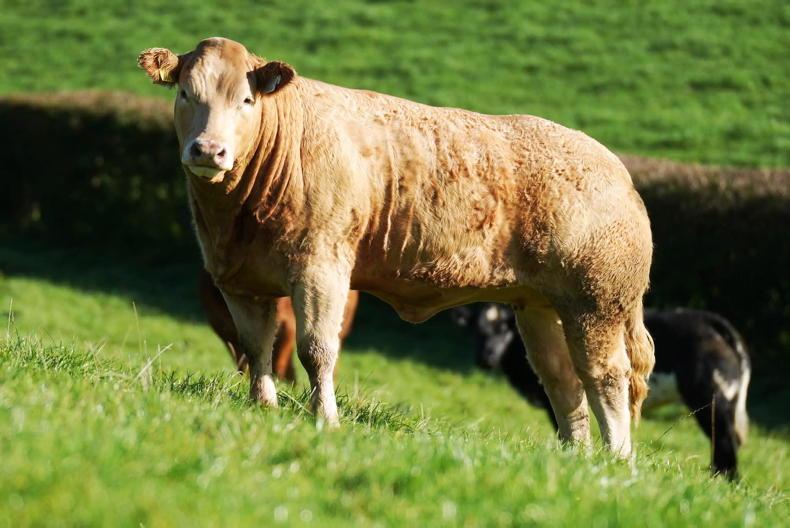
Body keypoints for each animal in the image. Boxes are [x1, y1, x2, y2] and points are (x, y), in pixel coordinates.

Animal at [452, 304, 751, 478]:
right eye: (477, 330)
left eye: (504, 329)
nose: (485, 357)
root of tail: (711, 321)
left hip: (710, 396)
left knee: (725, 441)